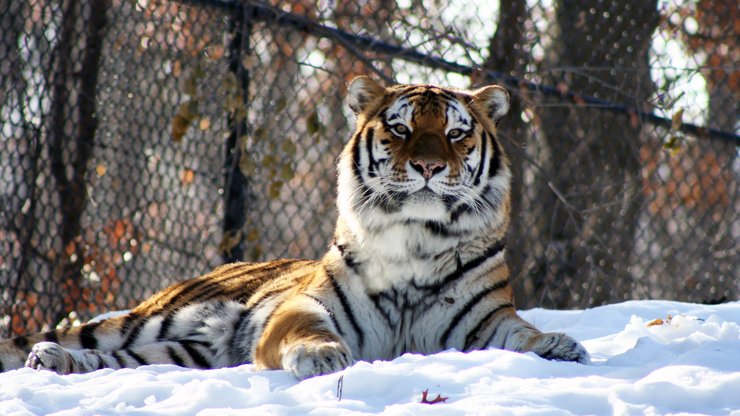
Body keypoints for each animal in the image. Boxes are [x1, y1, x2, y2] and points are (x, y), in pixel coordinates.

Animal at [0, 76, 588, 378]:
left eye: (455, 133)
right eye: (400, 130)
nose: (427, 166)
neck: (417, 239)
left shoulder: (485, 322)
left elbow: (522, 333)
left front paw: (560, 347)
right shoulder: (307, 305)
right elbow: (304, 328)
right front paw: (321, 355)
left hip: (184, 353)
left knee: (118, 362)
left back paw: (56, 364)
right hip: (149, 320)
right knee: (68, 338)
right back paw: (46, 354)